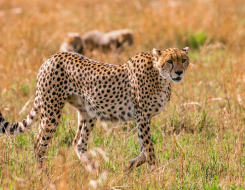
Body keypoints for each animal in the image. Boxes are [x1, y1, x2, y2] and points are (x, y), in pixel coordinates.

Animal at [0, 46, 189, 171]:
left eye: (184, 60)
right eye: (170, 61)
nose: (179, 72)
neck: (160, 76)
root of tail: (52, 57)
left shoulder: (142, 118)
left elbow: (144, 147)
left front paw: (130, 165)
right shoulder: (142, 117)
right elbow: (149, 148)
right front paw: (155, 173)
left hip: (88, 112)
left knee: (78, 142)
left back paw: (92, 169)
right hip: (52, 112)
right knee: (39, 144)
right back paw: (43, 174)